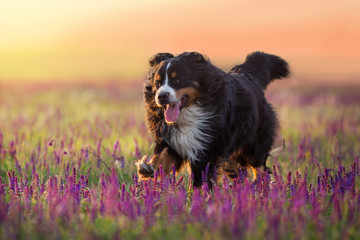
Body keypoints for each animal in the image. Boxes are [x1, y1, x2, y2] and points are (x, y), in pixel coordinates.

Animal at [136, 51, 288, 188]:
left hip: (254, 146)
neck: (189, 112)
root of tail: (248, 76)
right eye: (157, 83)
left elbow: (200, 177)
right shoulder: (171, 139)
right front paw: (148, 168)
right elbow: (162, 156)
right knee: (238, 171)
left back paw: (261, 188)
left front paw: (198, 196)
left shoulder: (207, 147)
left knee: (260, 168)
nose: (161, 96)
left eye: (177, 80)